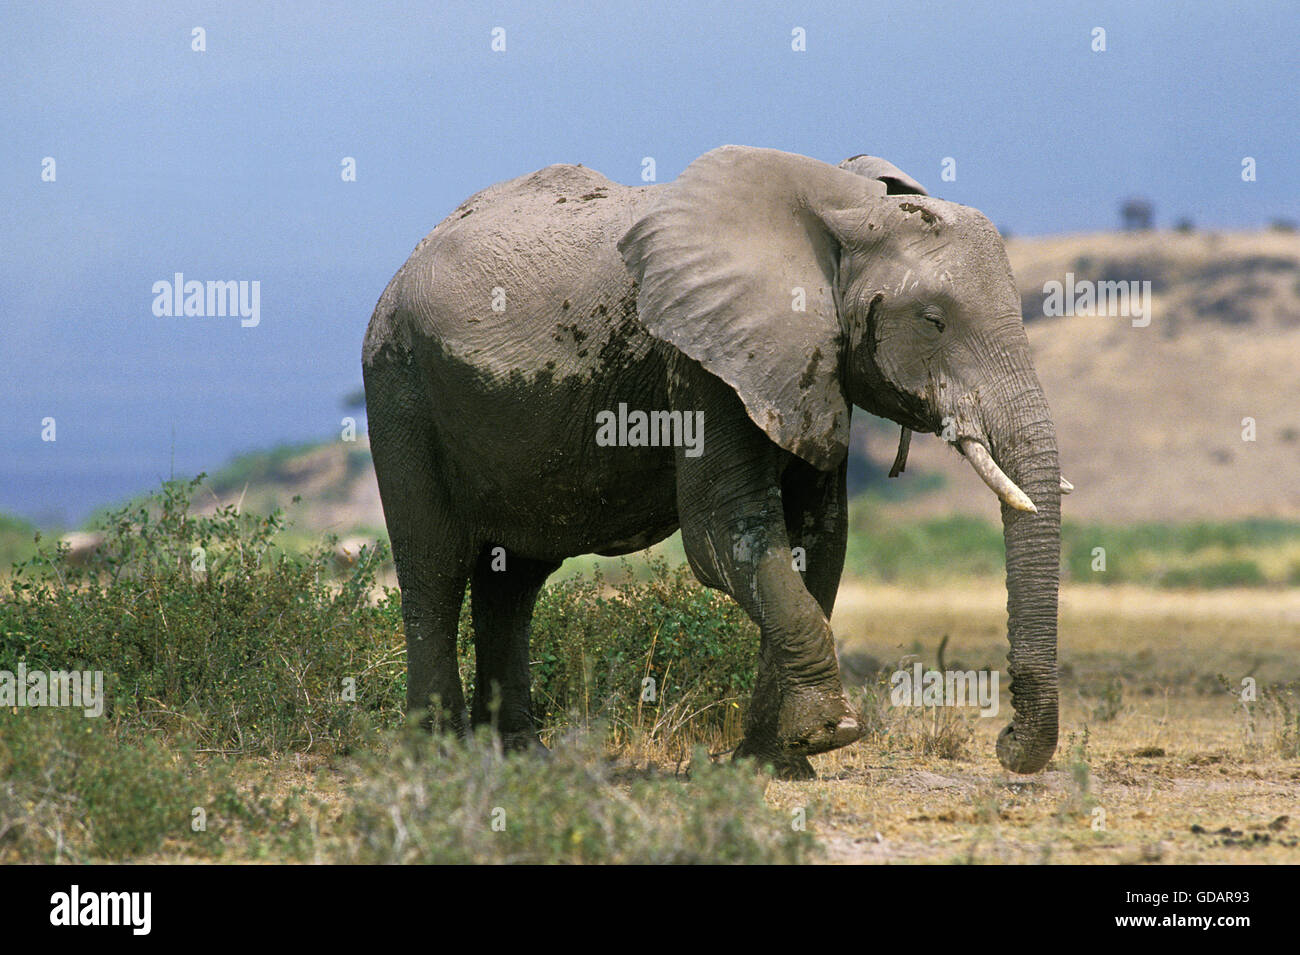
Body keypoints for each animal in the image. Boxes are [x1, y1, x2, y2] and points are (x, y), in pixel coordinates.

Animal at [362, 145, 1063, 779]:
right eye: (934, 320)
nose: (1006, 746)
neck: (843, 208)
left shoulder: (807, 370)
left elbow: (819, 542)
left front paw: (777, 764)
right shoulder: (702, 360)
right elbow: (726, 534)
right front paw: (830, 733)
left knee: (515, 579)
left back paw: (518, 757)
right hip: (399, 383)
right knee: (435, 565)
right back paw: (437, 757)